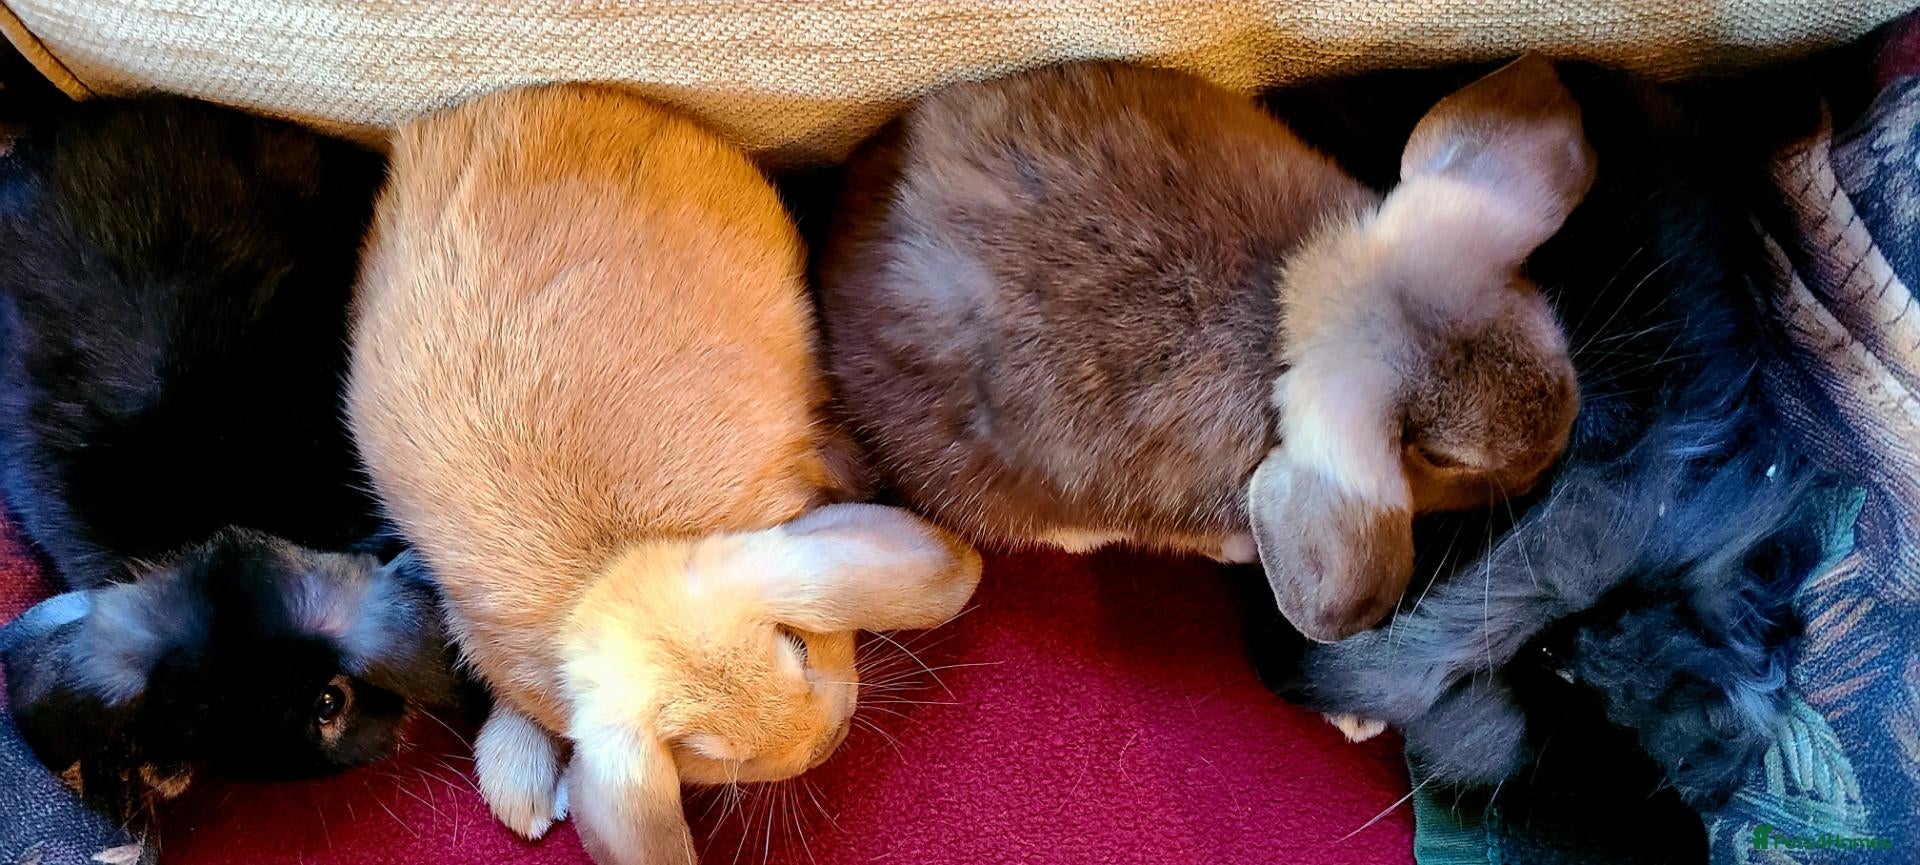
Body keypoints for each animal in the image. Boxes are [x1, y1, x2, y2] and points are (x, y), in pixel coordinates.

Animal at [345, 83, 983, 865]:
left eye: (799, 643)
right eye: (706, 757)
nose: (830, 739)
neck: (610, 570)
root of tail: (507, 106)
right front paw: (521, 785)